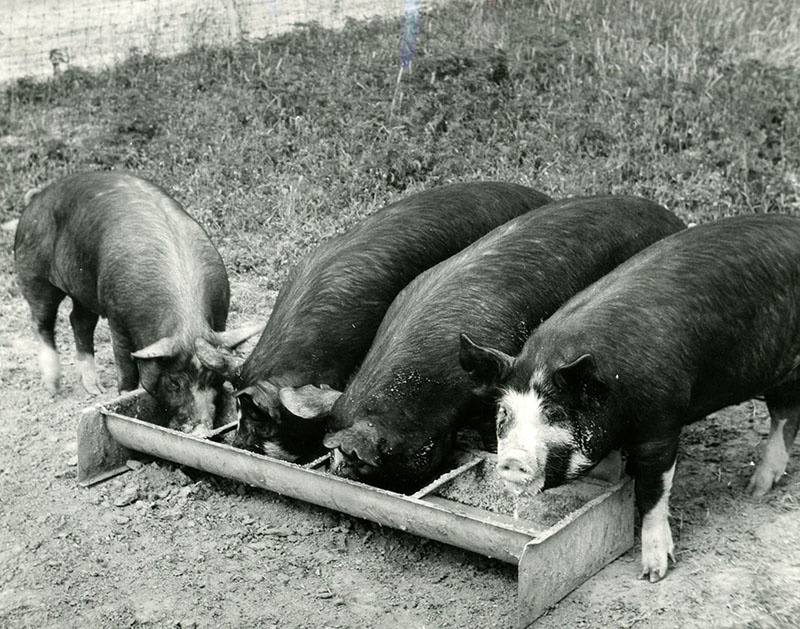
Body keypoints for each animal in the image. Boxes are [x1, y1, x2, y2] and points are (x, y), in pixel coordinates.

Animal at [460, 213, 800, 580]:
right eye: (505, 412)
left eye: (554, 412)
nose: (511, 460)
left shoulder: (661, 425)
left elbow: (651, 492)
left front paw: (653, 574)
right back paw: (758, 488)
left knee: (785, 413)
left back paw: (755, 489)